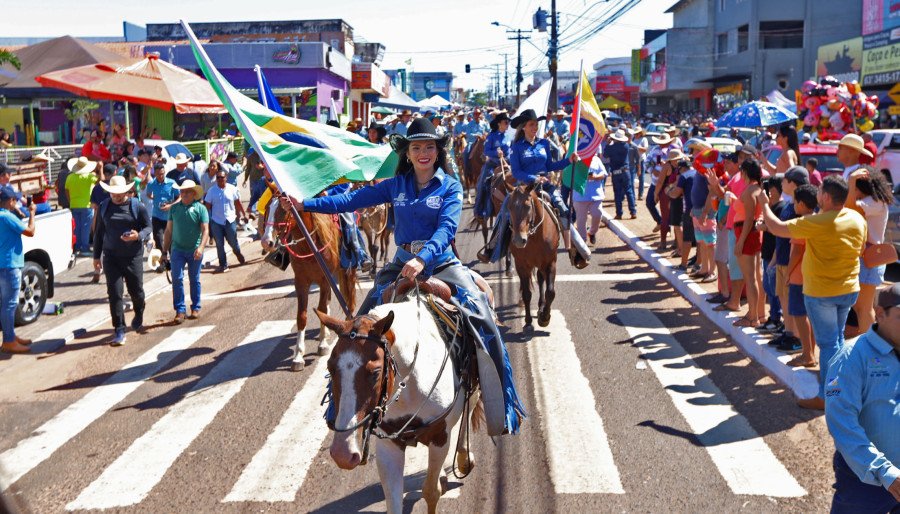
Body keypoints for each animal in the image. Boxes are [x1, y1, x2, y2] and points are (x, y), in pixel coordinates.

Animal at [258, 195, 356, 368]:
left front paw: (323, 345)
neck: (309, 245)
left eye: (283, 210)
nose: (266, 242)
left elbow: (321, 308)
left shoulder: (324, 279)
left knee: (347, 297)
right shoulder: (301, 281)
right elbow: (302, 316)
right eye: (267, 208)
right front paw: (298, 356)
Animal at [318, 296, 482, 512]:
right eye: (330, 368)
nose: (342, 454)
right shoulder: (389, 443)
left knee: (471, 403)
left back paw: (463, 458)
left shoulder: (440, 437)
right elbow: (394, 501)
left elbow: (431, 492)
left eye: (375, 372)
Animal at [506, 184, 556, 326]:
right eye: (509, 207)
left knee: (541, 279)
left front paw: (545, 317)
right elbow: (527, 294)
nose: (518, 240)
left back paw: (541, 307)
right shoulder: (521, 265)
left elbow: (550, 292)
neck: (534, 238)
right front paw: (528, 320)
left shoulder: (550, 263)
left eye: (528, 206)